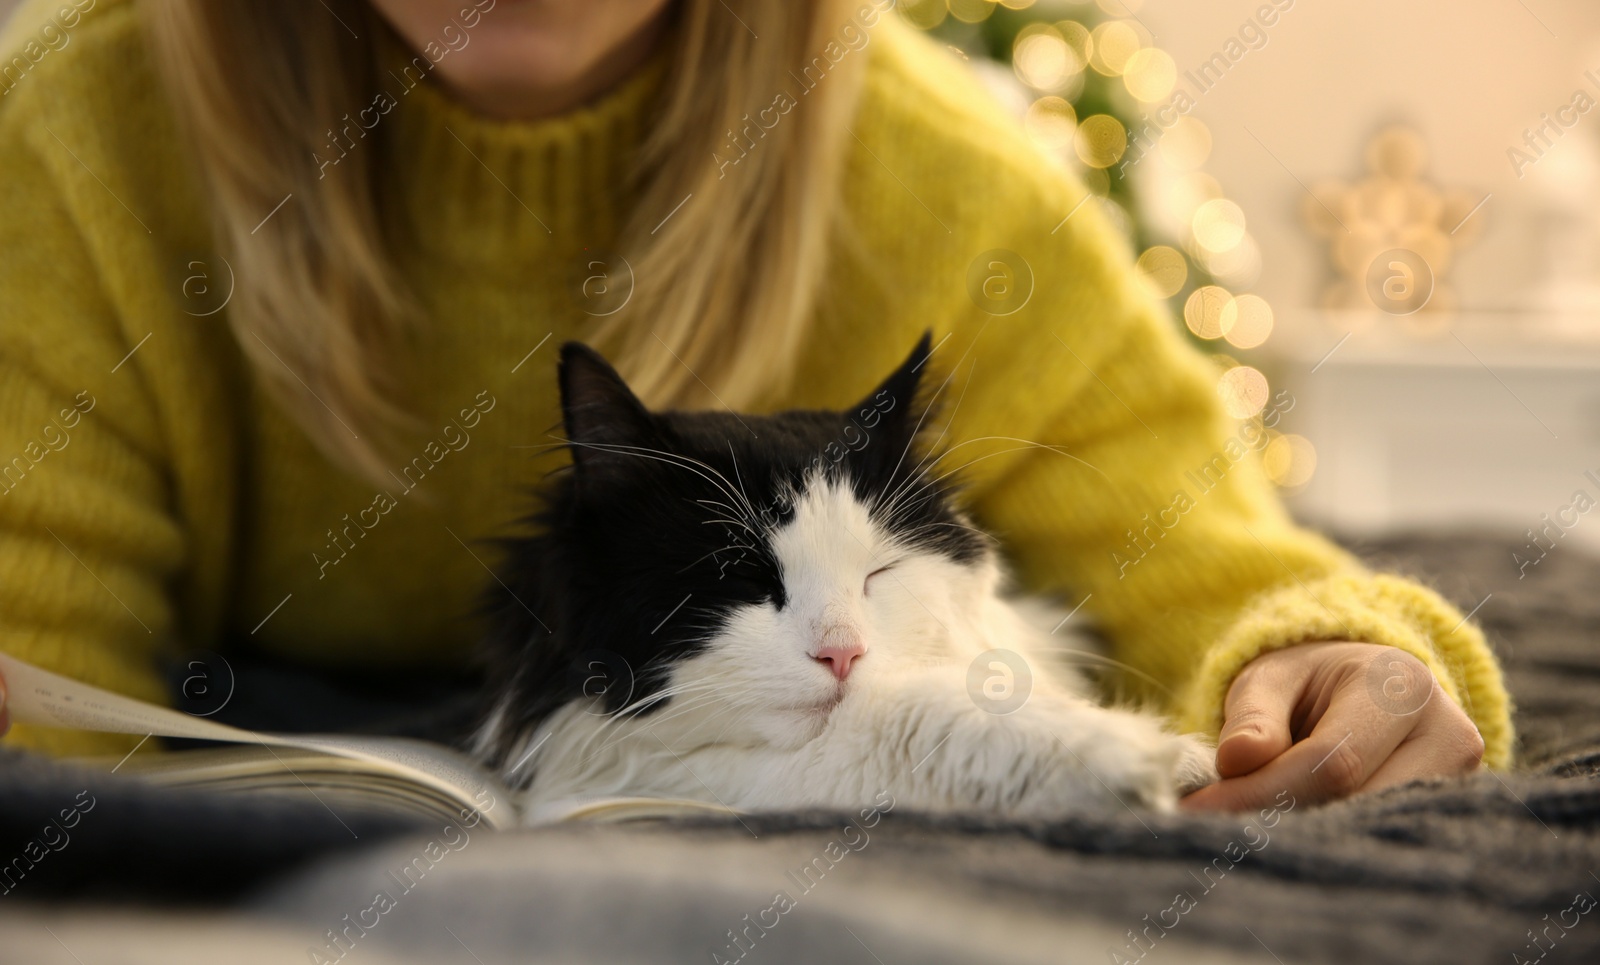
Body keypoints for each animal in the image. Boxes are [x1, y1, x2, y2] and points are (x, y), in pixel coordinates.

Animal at [470, 334, 1209, 825]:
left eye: (878, 572)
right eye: (742, 578)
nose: (843, 653)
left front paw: (1183, 758)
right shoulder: (613, 778)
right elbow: (904, 725)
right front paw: (1129, 759)